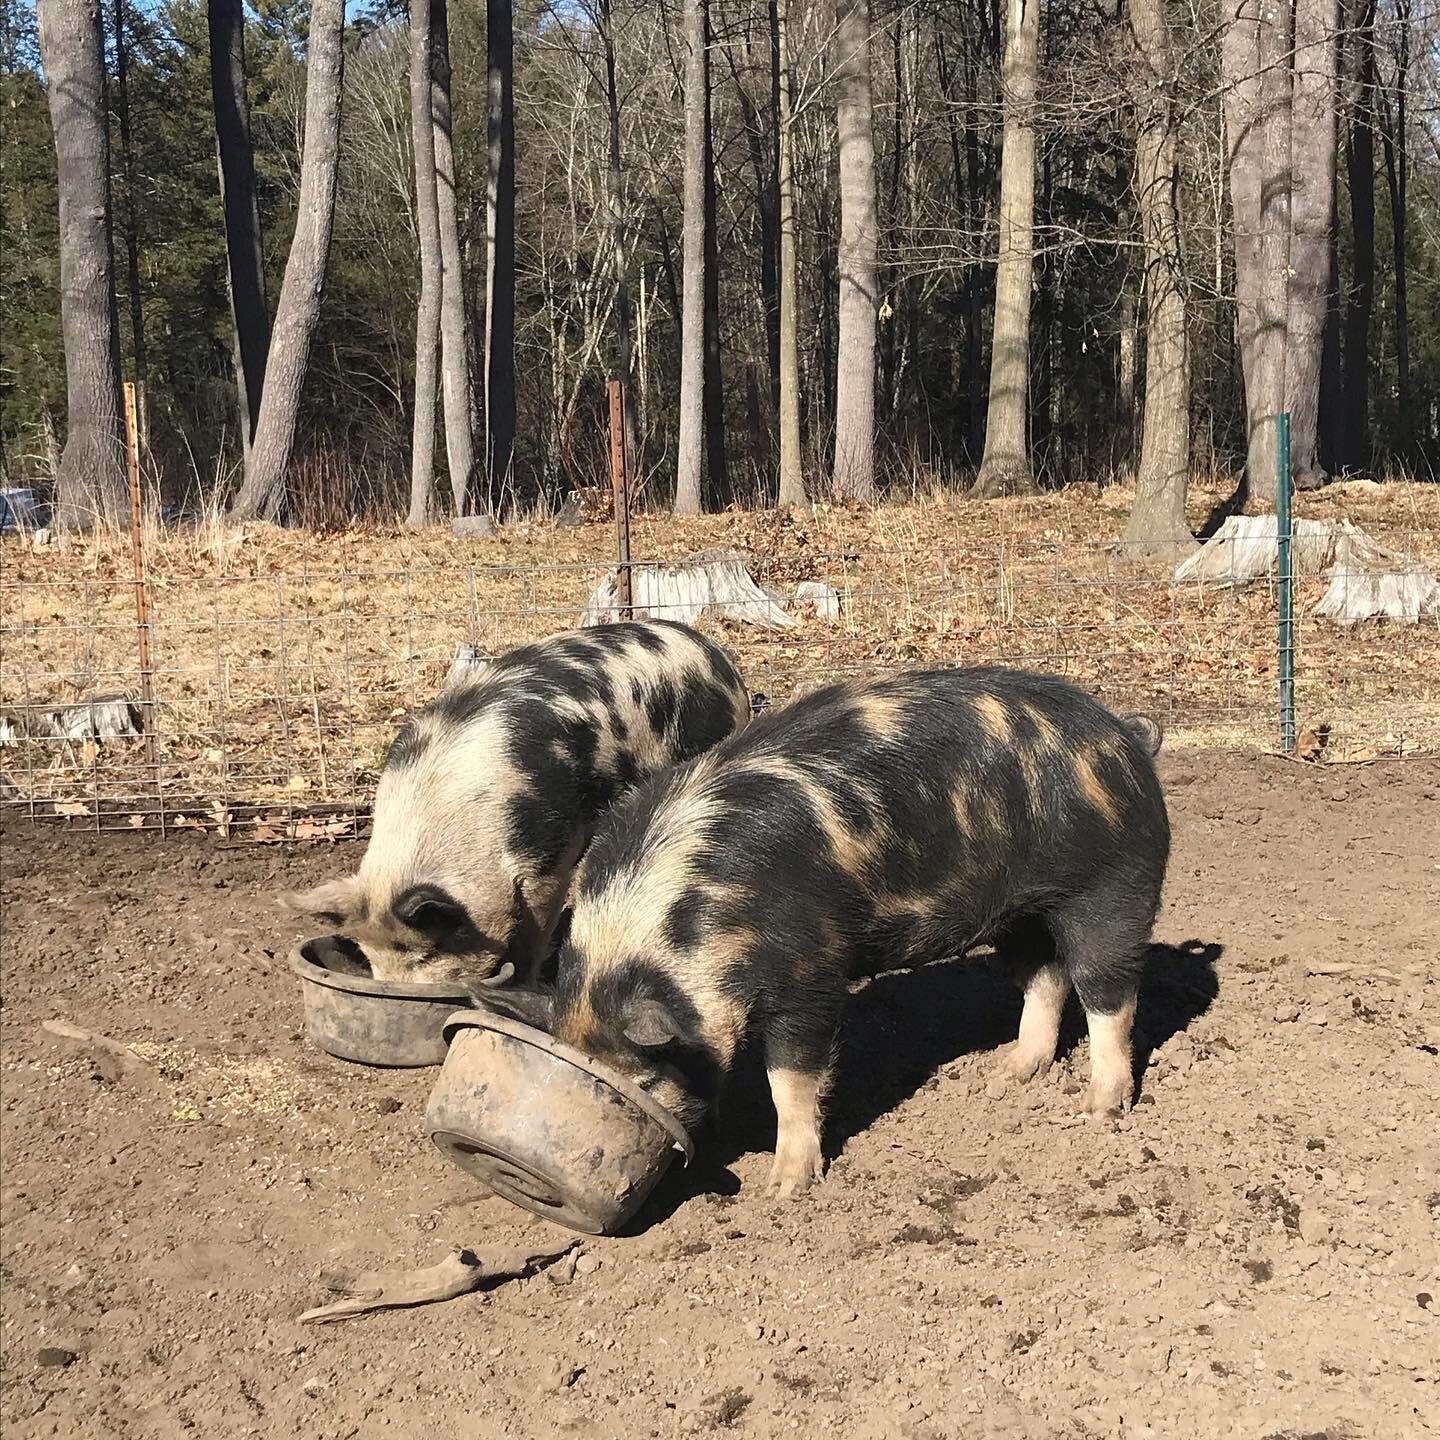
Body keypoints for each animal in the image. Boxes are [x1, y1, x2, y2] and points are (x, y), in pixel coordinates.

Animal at [483, 668, 1169, 1198]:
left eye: (646, 1077)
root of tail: (1125, 736)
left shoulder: (808, 968)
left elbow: (791, 1076)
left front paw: (785, 1189)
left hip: (1115, 884)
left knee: (1109, 989)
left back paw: (1099, 1109)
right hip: (1022, 911)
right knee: (1043, 975)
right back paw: (1011, 1072)